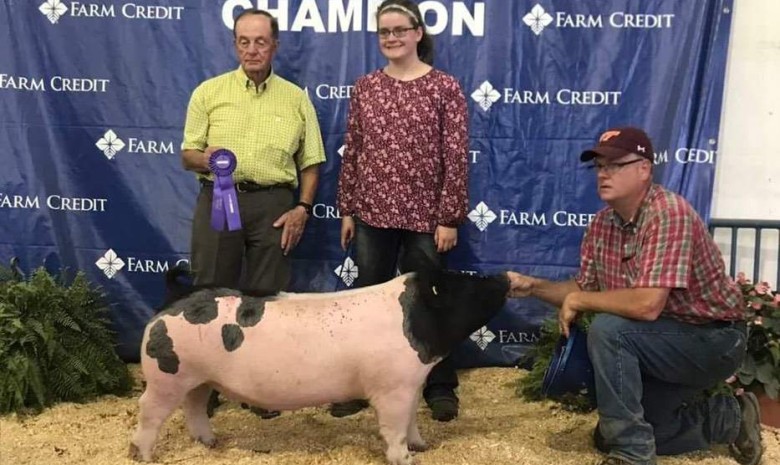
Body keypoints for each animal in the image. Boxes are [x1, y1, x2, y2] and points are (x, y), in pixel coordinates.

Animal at [133, 268, 512, 464]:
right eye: (468, 284)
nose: (505, 278)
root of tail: (176, 297)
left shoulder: (412, 383)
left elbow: (412, 421)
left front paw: (420, 447)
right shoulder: (392, 388)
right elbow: (394, 427)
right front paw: (405, 458)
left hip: (198, 378)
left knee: (194, 406)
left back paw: (210, 443)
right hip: (166, 376)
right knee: (148, 410)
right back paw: (142, 455)